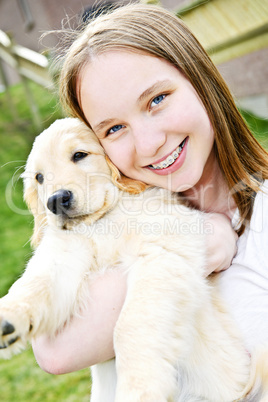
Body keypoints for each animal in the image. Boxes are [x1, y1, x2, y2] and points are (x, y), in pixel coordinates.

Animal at [0, 118, 266, 400]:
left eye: (79, 155)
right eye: (39, 178)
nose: (55, 201)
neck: (104, 219)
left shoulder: (161, 248)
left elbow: (131, 324)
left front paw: (139, 389)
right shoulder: (63, 252)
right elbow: (36, 282)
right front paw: (9, 315)